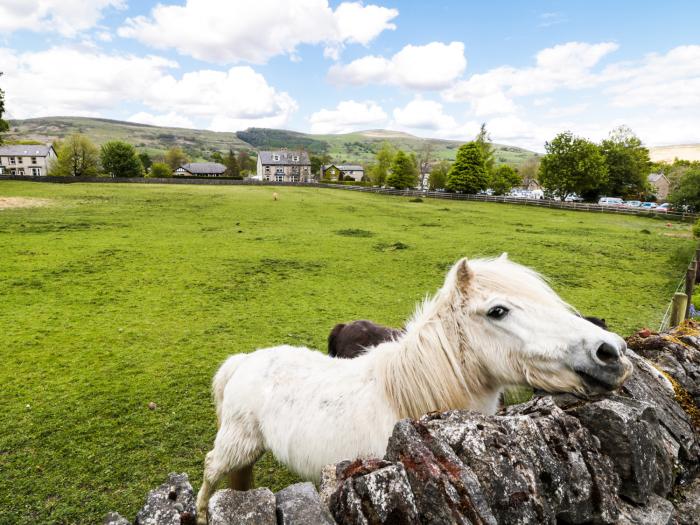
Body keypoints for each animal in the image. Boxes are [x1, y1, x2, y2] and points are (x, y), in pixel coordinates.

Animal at [194, 255, 632, 520]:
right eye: (498, 310)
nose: (610, 352)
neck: (405, 397)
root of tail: (244, 360)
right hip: (235, 443)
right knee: (212, 470)